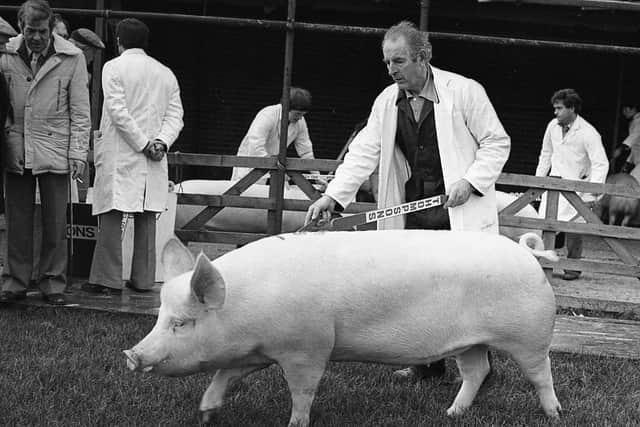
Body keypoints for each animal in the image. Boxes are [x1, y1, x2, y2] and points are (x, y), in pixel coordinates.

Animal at [124, 229, 560, 426]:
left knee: (541, 373)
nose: (130, 355)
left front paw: (295, 424)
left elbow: (302, 391)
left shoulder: (308, 348)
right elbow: (223, 375)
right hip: (470, 343)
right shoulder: (254, 352)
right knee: (477, 371)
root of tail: (528, 254)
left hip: (530, 335)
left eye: (182, 323)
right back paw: (451, 413)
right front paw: (205, 414)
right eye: (160, 317)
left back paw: (554, 414)